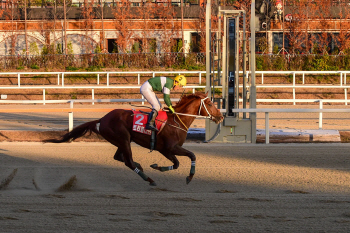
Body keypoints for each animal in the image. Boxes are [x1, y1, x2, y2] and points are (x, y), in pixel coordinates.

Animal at [43, 92, 224, 185]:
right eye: (210, 103)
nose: (221, 116)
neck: (177, 121)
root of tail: (102, 119)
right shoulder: (168, 148)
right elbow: (189, 157)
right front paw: (189, 177)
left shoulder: (168, 150)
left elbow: (181, 161)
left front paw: (158, 167)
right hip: (123, 139)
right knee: (128, 161)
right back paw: (149, 179)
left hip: (122, 141)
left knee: (119, 157)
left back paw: (141, 167)